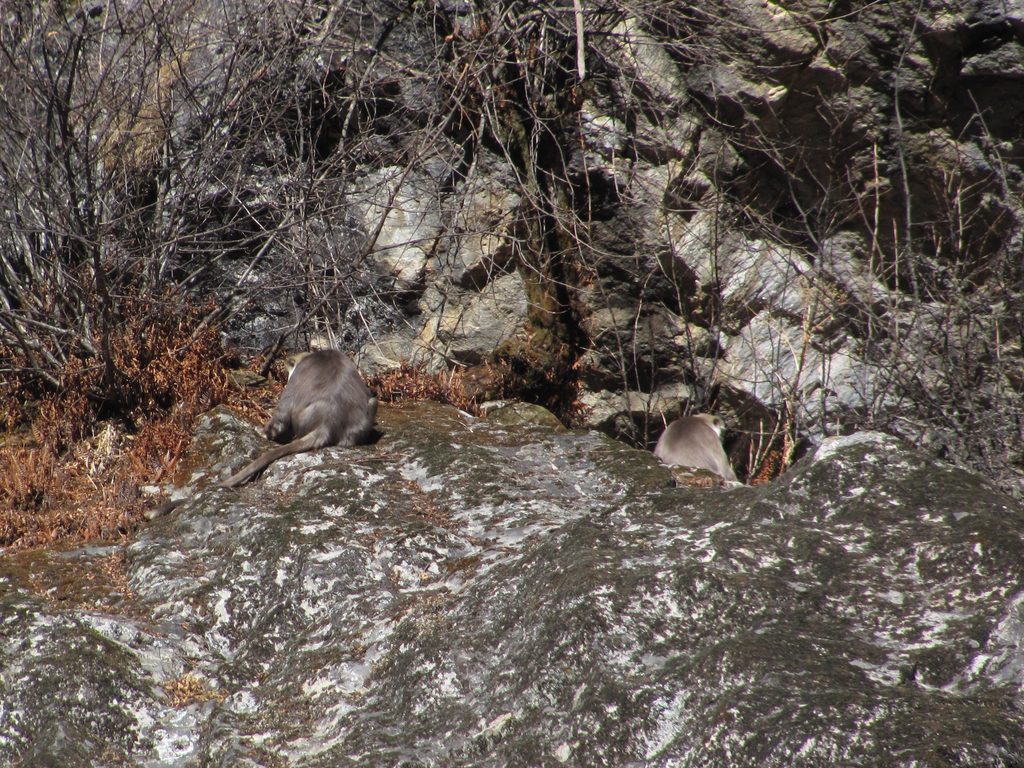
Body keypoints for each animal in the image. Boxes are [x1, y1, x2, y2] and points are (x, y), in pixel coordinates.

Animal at [223, 348, 380, 487]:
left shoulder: (296, 376)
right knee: (373, 401)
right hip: (363, 420)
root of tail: (327, 423)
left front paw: (262, 431)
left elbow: (281, 417)